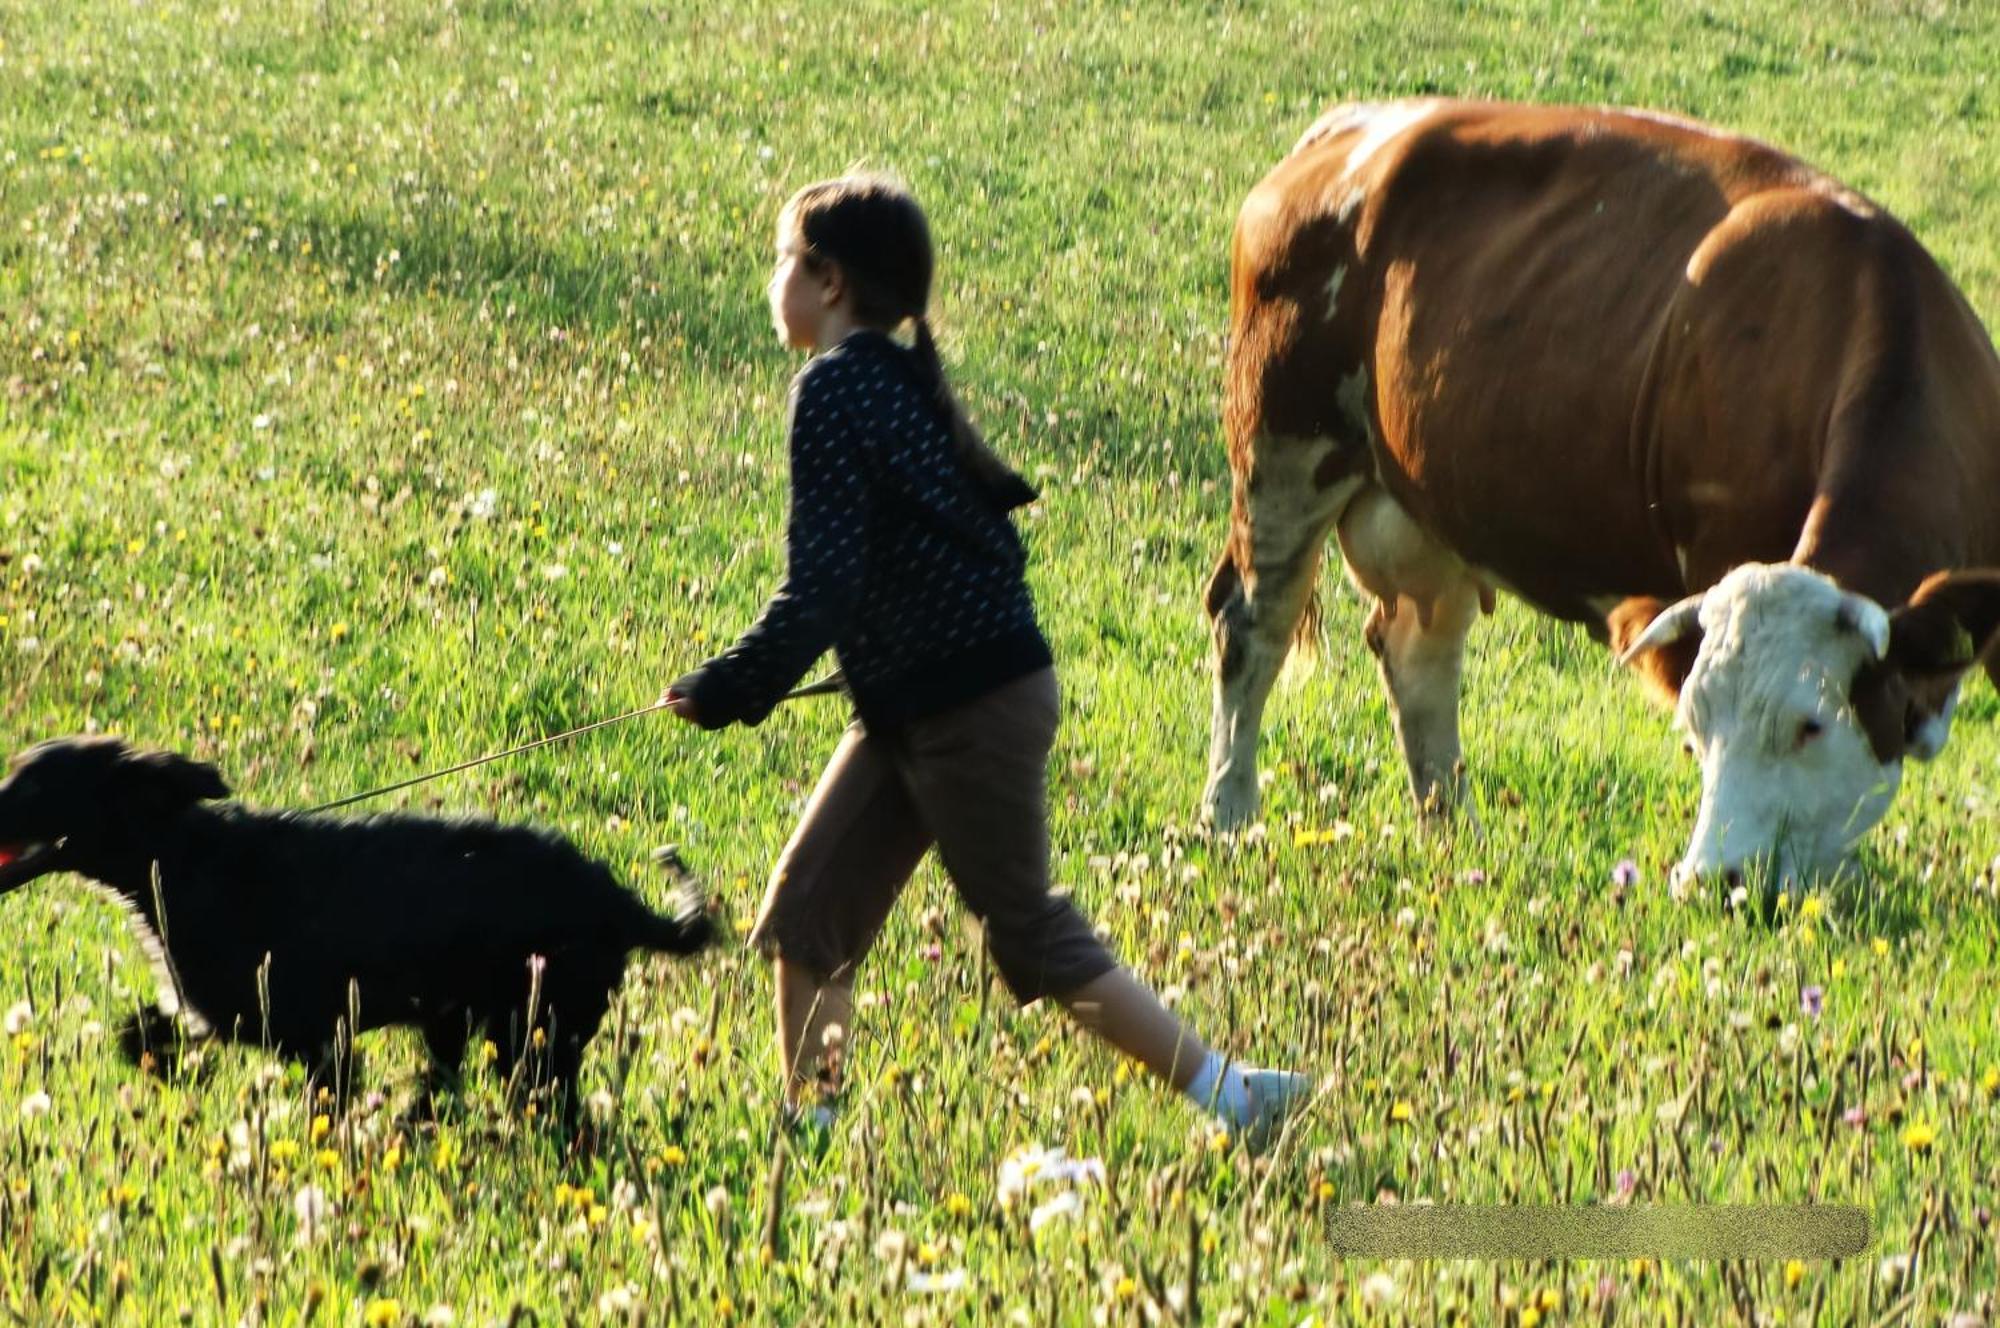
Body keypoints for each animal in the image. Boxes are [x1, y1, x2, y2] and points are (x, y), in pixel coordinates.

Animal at [0, 736, 716, 1128]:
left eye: (32, 786)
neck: (182, 855)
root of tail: (616, 899)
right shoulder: (233, 1012)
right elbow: (144, 1032)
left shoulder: (318, 1036)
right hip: (473, 1022)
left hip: (534, 1032)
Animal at [1200, 101, 2000, 892]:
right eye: (1695, 728)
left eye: (1812, 723)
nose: (1712, 881)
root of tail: (1356, 124)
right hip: (1283, 446)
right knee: (1253, 625)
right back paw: (1229, 815)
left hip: (1423, 507)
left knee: (1417, 653)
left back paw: (1454, 834)